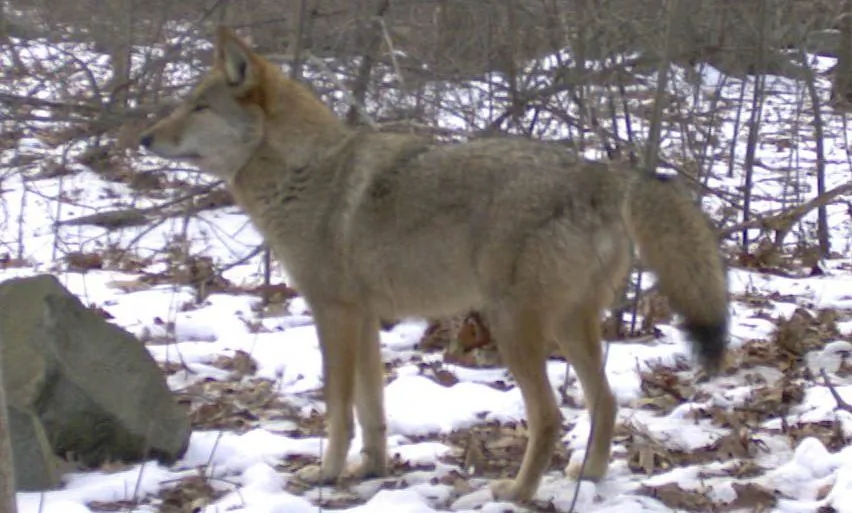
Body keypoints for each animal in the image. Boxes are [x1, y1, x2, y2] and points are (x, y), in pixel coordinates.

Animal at [140, 27, 729, 502]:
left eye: (199, 107)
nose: (144, 137)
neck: (304, 173)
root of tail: (601, 172)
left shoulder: (334, 316)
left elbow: (337, 410)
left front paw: (325, 474)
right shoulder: (365, 320)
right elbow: (371, 412)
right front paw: (371, 470)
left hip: (513, 328)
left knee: (550, 415)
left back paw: (517, 492)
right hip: (567, 326)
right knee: (604, 401)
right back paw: (590, 475)